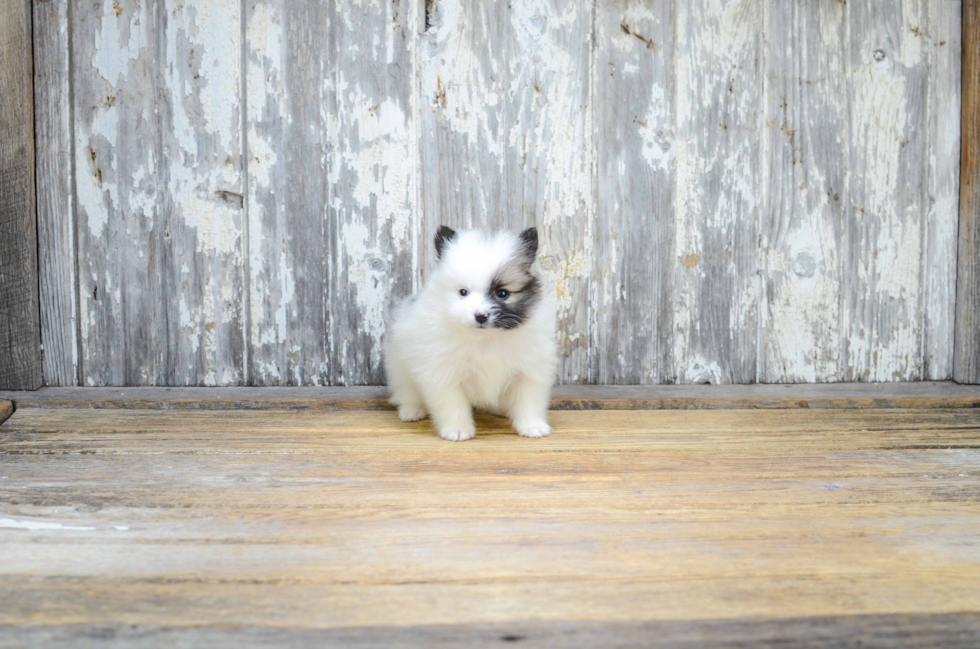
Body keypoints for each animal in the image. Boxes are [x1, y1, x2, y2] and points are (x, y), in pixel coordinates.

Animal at [388, 225, 560, 442]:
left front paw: (532, 427)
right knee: (406, 392)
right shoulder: (443, 374)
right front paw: (458, 431)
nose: (481, 316)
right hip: (400, 369)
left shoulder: (529, 372)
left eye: (502, 293)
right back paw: (412, 411)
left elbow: (528, 401)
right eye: (463, 292)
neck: (486, 338)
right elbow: (452, 405)